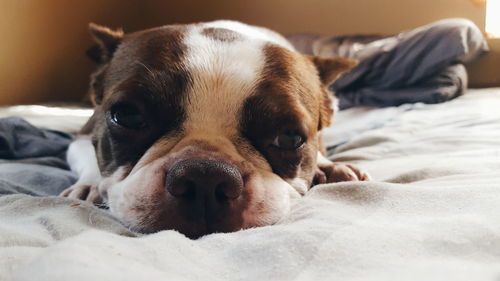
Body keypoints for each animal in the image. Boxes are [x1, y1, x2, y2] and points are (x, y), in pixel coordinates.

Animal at [59, 20, 372, 238]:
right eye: (127, 116)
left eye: (290, 137)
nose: (205, 177)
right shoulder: (83, 134)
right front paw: (89, 185)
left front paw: (328, 165)